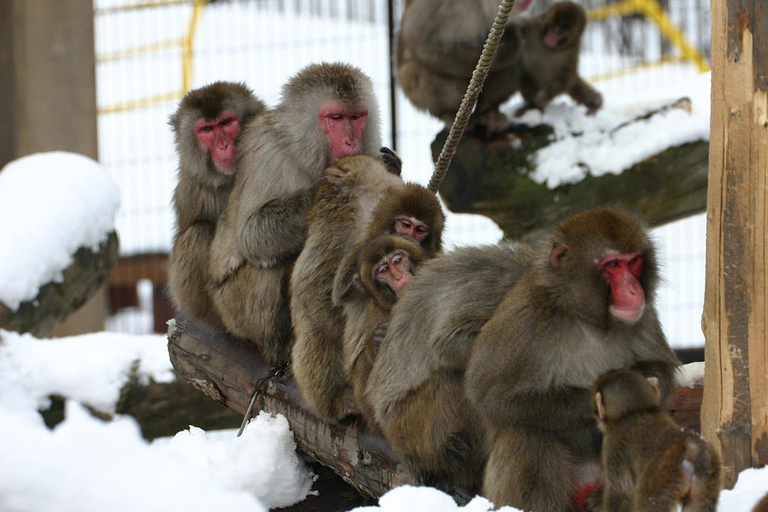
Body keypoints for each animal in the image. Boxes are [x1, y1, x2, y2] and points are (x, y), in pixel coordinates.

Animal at [207, 62, 384, 364]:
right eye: (336, 117)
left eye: (357, 117)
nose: (351, 143)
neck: (304, 152)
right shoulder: (267, 152)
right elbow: (252, 233)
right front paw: (322, 186)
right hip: (234, 309)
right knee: (273, 265)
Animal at [464, 206, 680, 510]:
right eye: (613, 265)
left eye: (634, 261)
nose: (634, 291)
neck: (585, 317)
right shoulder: (524, 319)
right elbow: (489, 397)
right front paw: (593, 399)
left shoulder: (644, 314)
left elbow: (663, 373)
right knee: (527, 432)